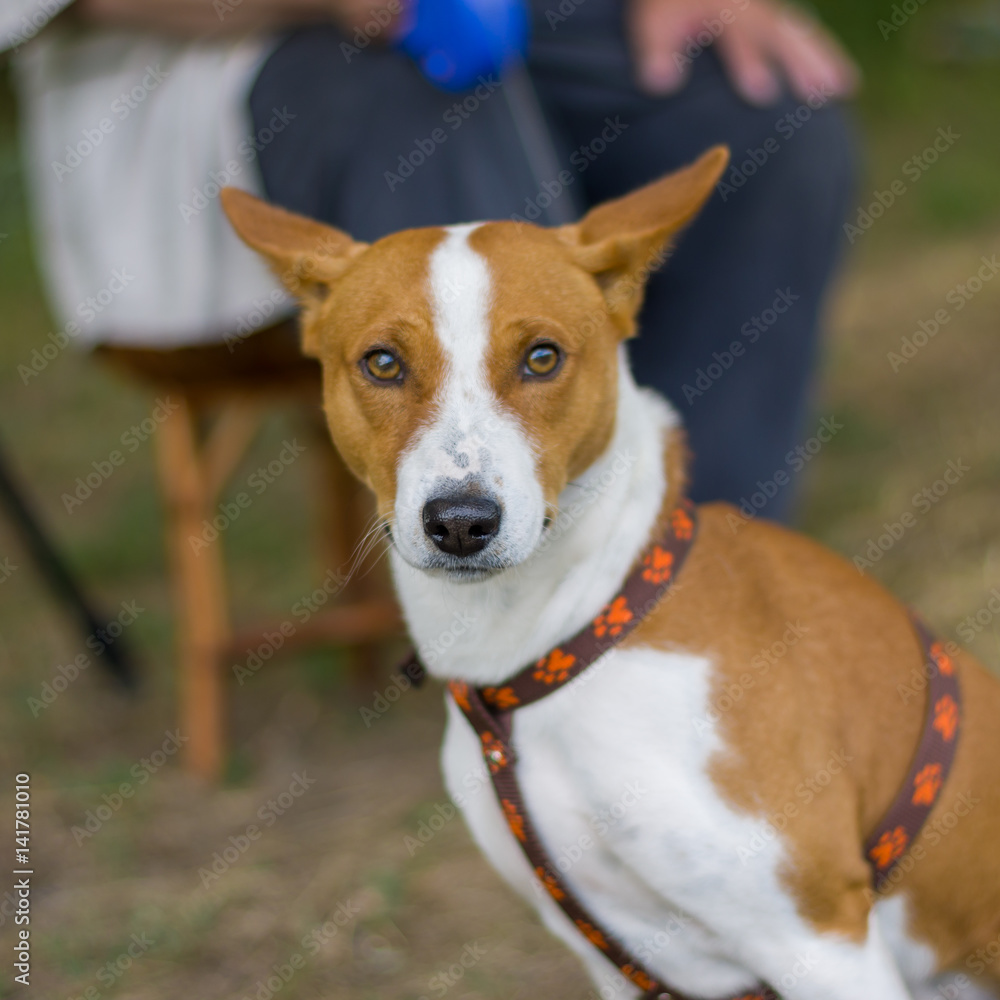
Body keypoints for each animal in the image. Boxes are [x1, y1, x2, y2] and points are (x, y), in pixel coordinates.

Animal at [225, 148, 1000, 1000]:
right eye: (383, 363)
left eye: (542, 357)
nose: (460, 522)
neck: (569, 636)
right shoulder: (613, 958)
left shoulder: (817, 936)